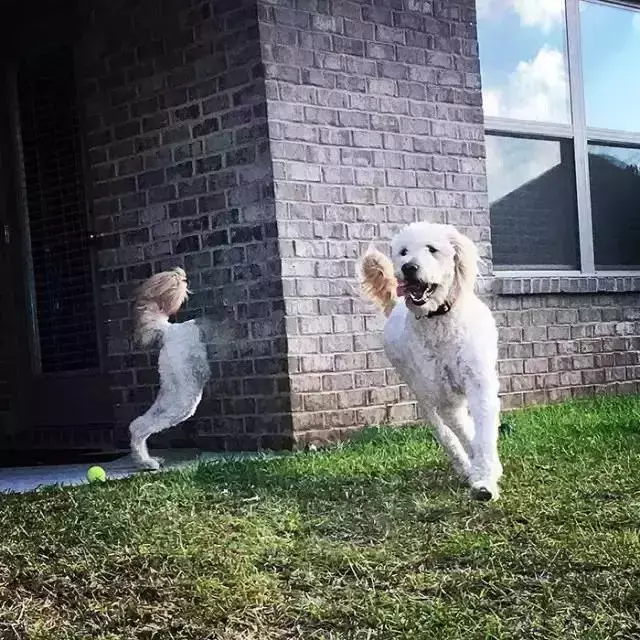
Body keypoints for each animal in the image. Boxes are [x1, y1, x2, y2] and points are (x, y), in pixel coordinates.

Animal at [128, 267, 211, 470]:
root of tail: (169, 330)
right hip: (185, 397)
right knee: (141, 425)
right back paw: (146, 462)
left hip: (174, 390)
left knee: (139, 423)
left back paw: (145, 460)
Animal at [360, 222, 503, 500]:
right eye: (403, 252)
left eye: (432, 249)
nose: (408, 268)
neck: (440, 320)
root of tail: (396, 307)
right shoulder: (445, 398)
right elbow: (466, 433)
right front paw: (478, 471)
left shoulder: (479, 384)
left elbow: (482, 432)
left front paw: (485, 478)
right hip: (422, 394)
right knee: (445, 435)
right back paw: (464, 466)